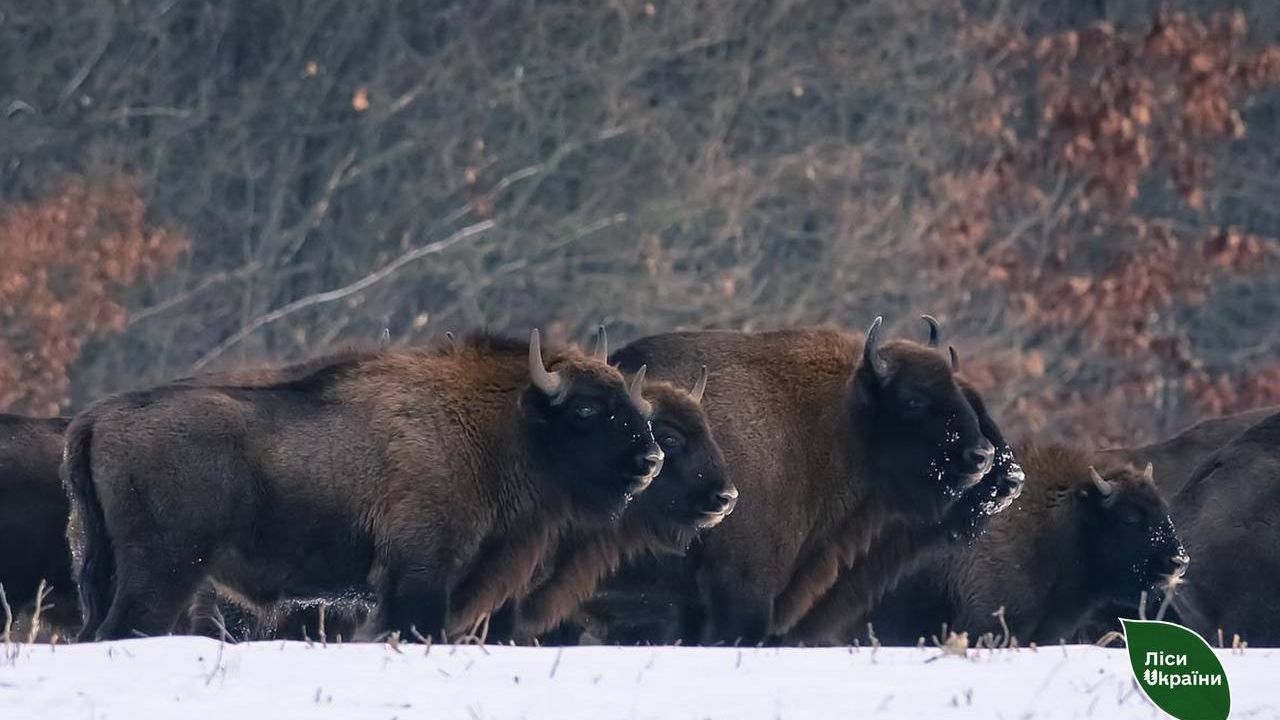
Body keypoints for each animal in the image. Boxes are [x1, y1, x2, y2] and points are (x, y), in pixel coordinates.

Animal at [62, 330, 660, 638]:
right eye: (587, 408)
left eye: (637, 405)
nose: (651, 458)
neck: (495, 425)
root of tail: (96, 417)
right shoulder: (421, 574)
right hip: (164, 572)